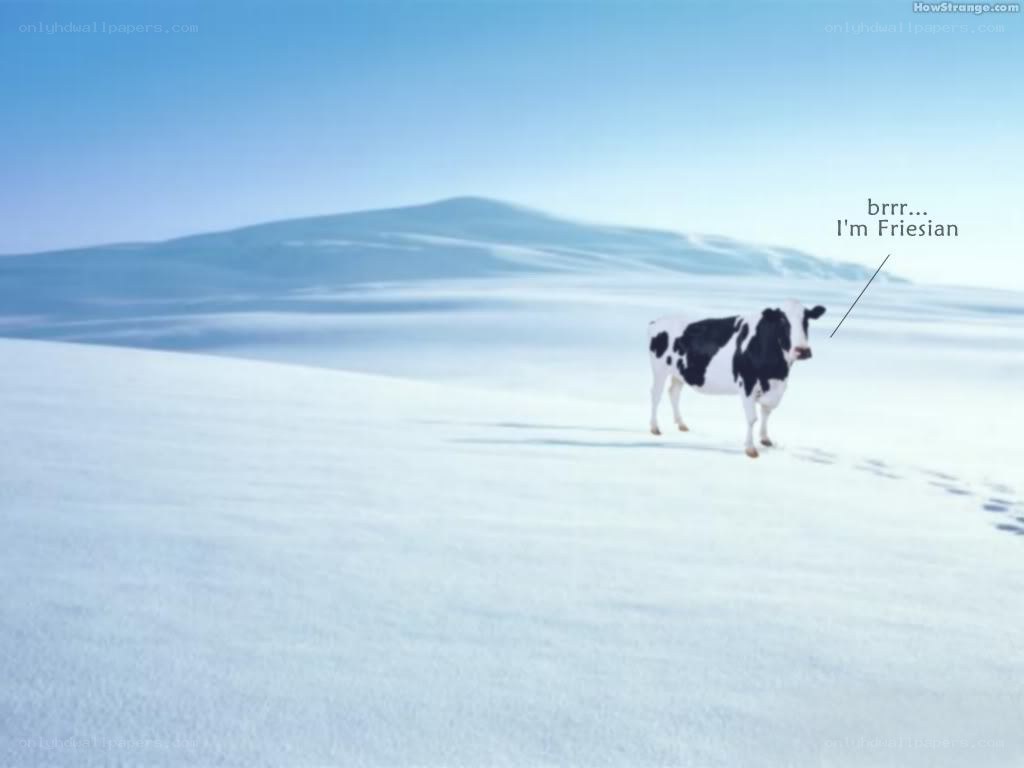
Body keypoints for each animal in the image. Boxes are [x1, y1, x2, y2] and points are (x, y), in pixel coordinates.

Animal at [647, 300, 826, 458]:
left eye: (806, 319)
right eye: (782, 320)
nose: (802, 350)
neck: (778, 371)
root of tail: (657, 321)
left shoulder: (776, 388)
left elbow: (766, 412)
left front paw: (765, 439)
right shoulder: (747, 383)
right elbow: (752, 418)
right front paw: (750, 449)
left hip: (679, 373)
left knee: (674, 393)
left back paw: (681, 424)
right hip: (659, 369)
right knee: (656, 395)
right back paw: (655, 428)